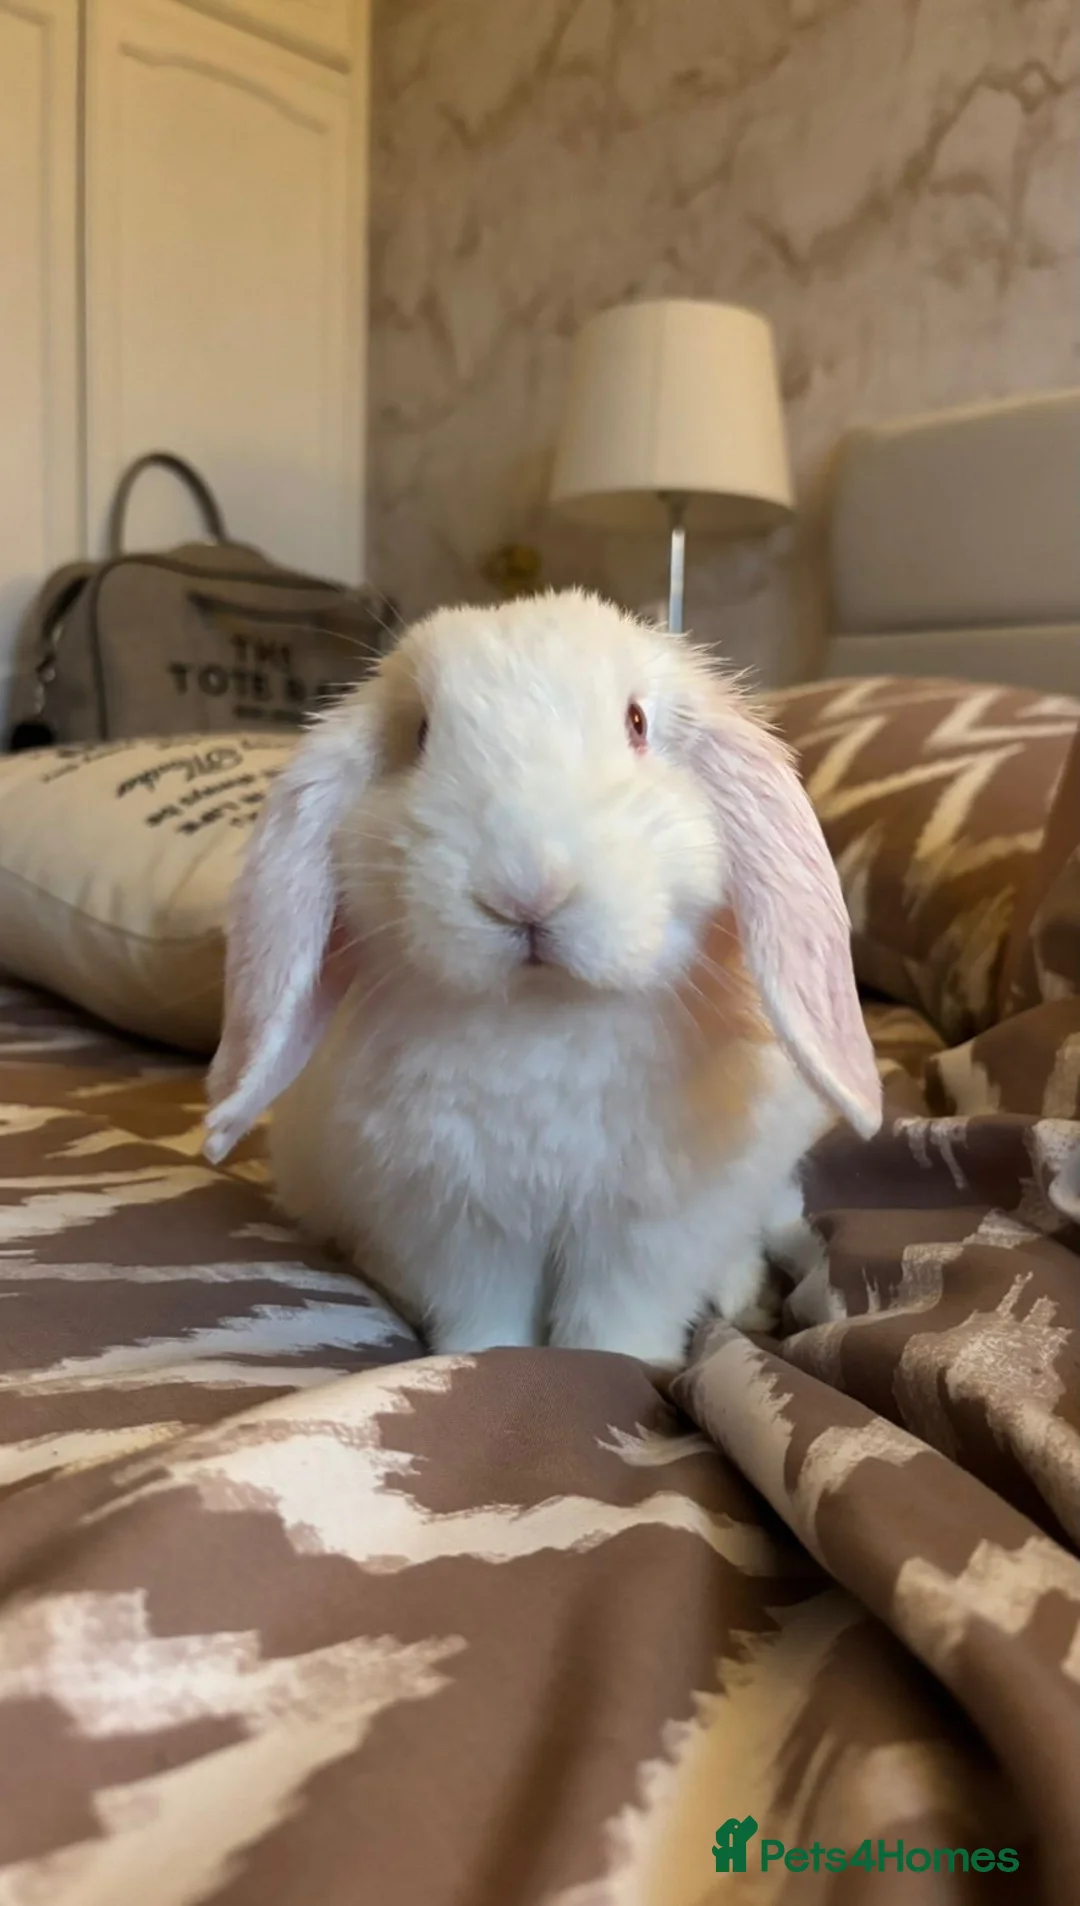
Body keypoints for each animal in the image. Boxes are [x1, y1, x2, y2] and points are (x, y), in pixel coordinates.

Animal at [204, 589, 881, 1363]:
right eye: (421, 734)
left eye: (637, 723)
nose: (525, 890)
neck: (544, 1011)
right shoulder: (459, 1227)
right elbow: (489, 1316)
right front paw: (484, 1360)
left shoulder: (646, 1233)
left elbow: (617, 1319)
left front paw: (622, 1364)